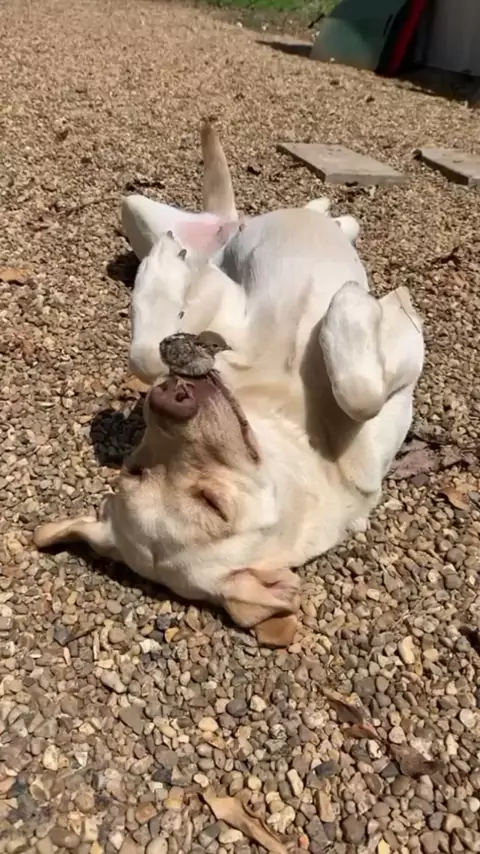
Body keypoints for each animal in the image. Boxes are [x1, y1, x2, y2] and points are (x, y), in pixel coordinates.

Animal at [34, 120, 424, 646]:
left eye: (133, 470)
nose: (171, 399)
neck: (287, 419)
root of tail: (230, 221)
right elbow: (360, 392)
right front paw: (350, 303)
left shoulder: (223, 309)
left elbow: (151, 353)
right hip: (141, 213)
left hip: (144, 210)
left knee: (325, 220)